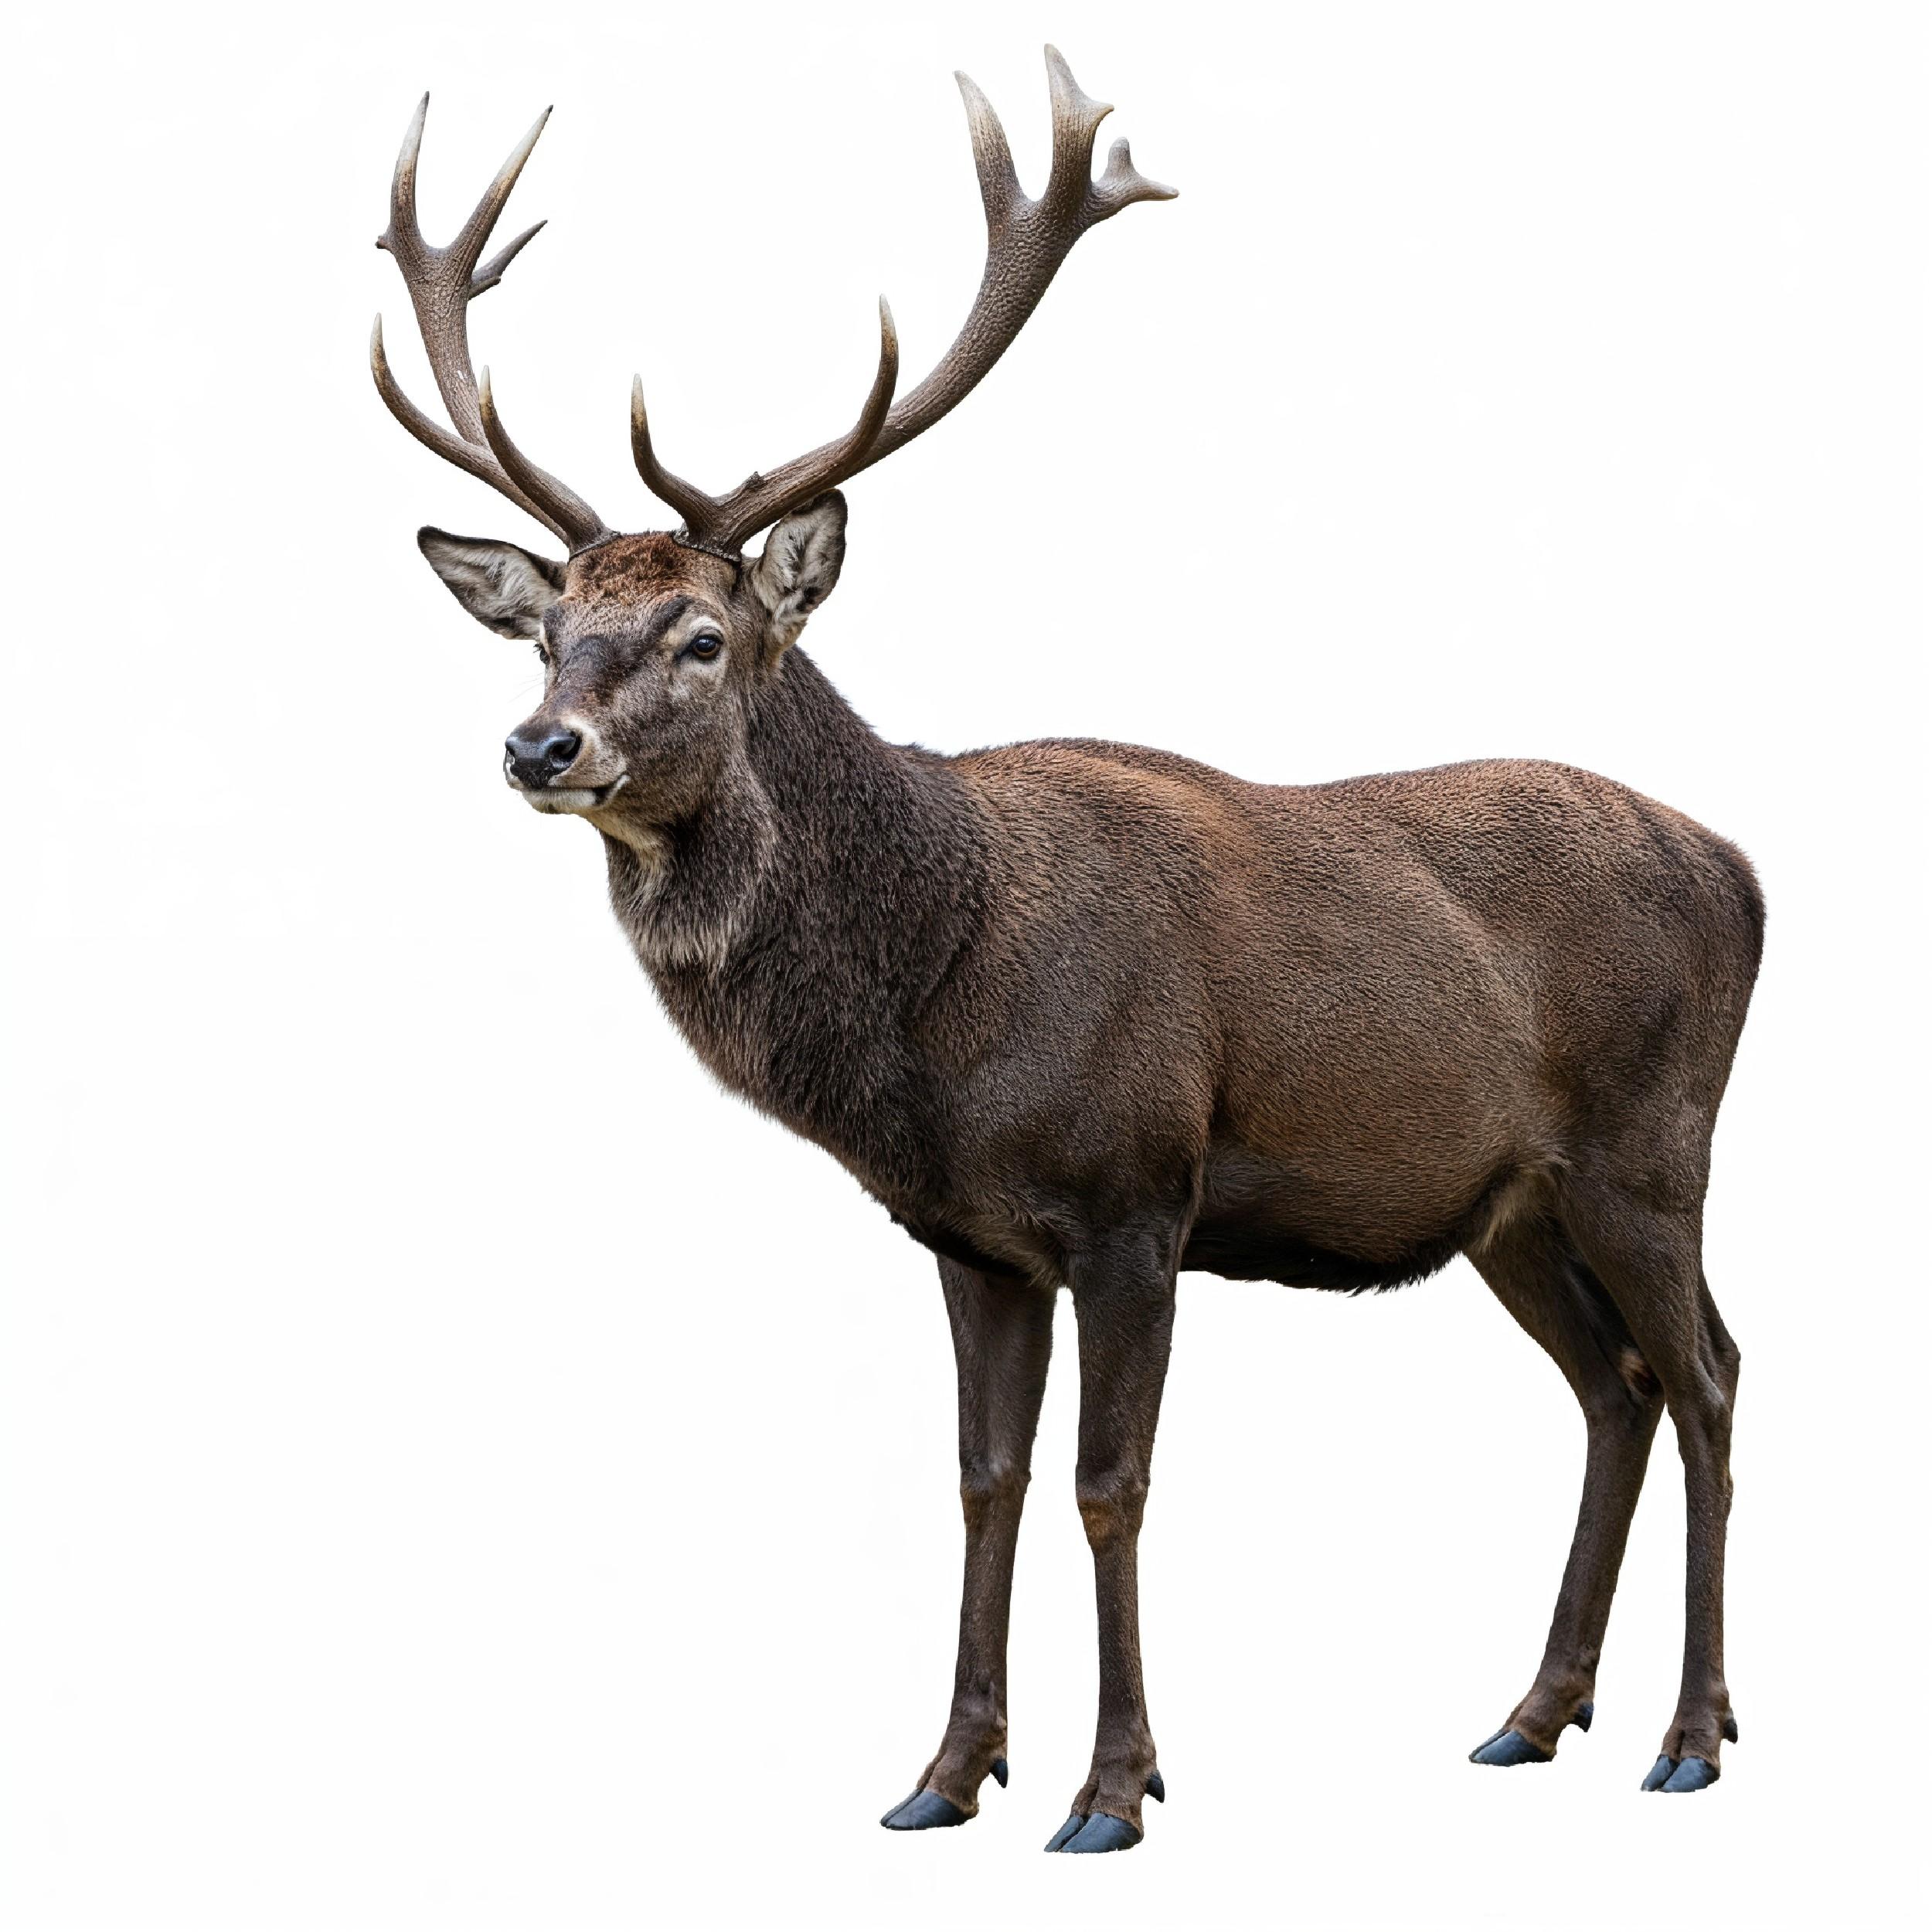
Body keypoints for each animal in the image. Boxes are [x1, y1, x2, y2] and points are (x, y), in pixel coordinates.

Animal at [370, 49, 1763, 1853]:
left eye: (701, 637)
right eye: (545, 631)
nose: (541, 746)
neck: (933, 1023)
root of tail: (1746, 869)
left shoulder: (1134, 1195)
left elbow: (1112, 1486)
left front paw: (1114, 1788)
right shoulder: (967, 1237)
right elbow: (985, 1483)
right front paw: (944, 1773)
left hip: (1650, 1148)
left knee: (1711, 1373)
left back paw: (1691, 1731)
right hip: (1507, 1203)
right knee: (1614, 1385)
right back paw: (1531, 1713)